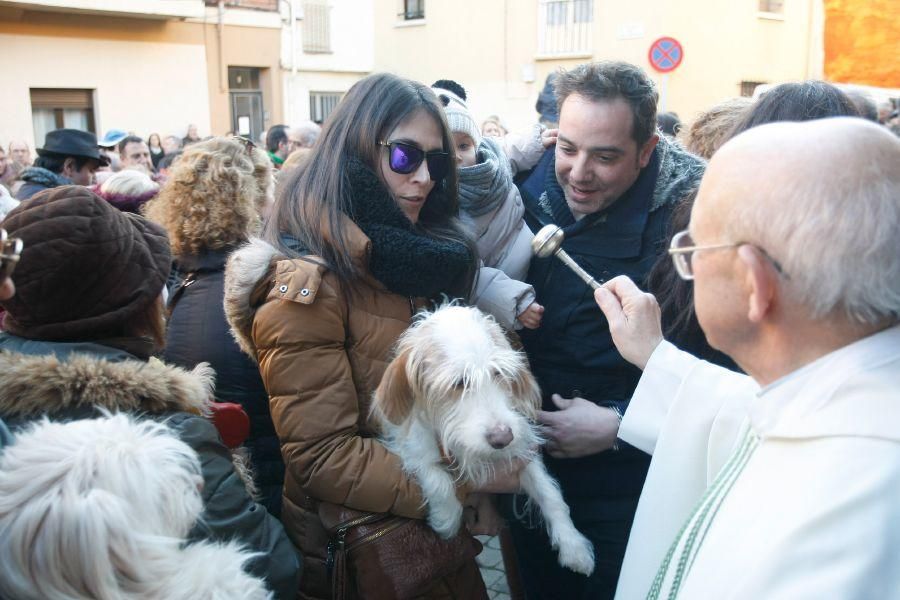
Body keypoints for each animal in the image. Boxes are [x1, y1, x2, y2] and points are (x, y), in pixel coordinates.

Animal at [370, 304, 596, 576]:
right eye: (459, 382)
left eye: (498, 372)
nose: (502, 438)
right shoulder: (411, 447)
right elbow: (434, 474)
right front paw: (446, 518)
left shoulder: (522, 450)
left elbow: (549, 493)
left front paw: (574, 546)